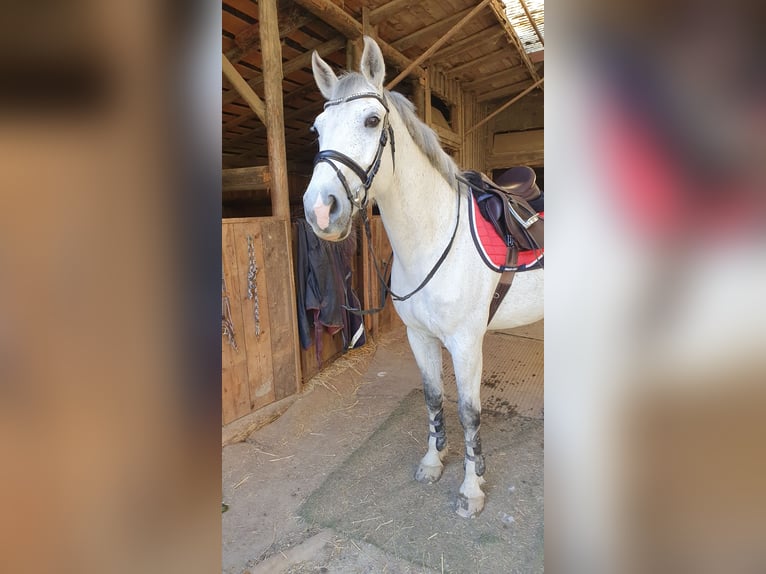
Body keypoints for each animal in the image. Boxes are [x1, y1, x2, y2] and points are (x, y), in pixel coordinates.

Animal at [302, 36, 544, 518]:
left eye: (372, 120)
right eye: (318, 129)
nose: (320, 209)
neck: (433, 238)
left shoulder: (466, 343)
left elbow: (470, 412)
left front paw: (471, 488)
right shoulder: (420, 337)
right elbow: (433, 398)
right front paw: (435, 462)